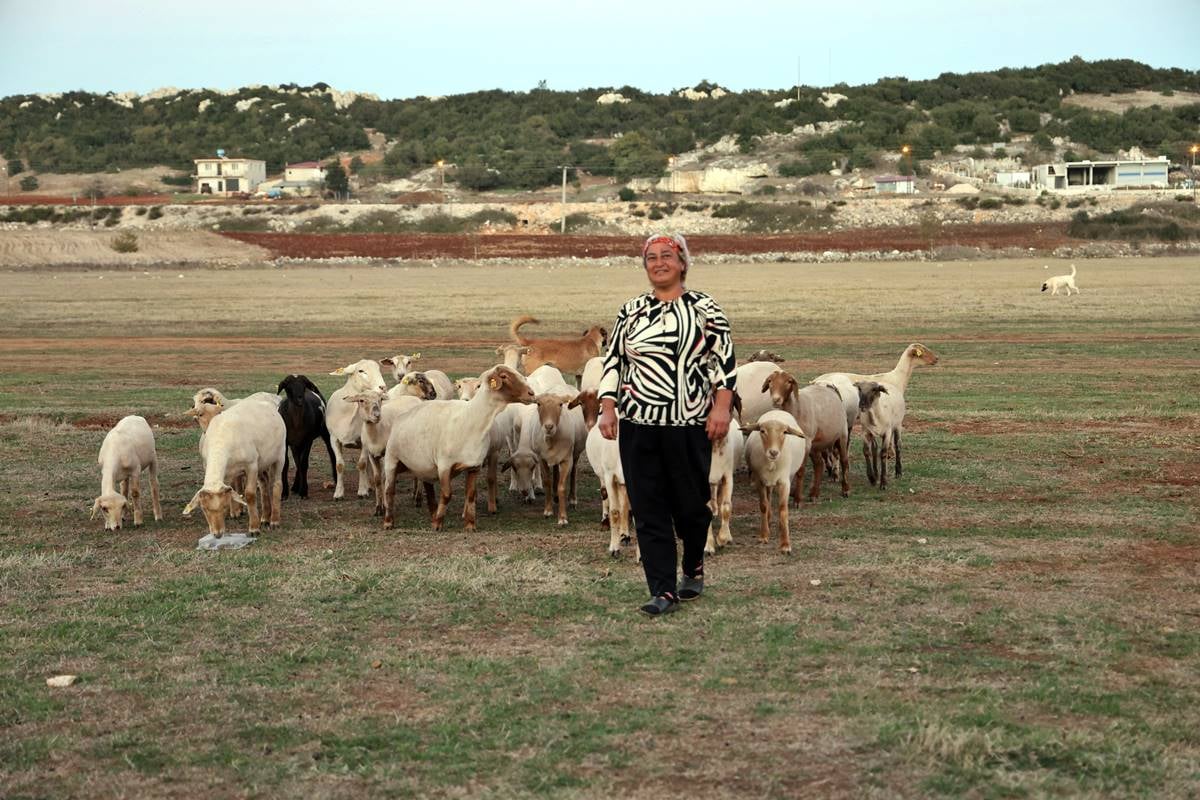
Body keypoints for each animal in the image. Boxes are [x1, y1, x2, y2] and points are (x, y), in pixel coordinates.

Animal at [324, 357, 388, 496]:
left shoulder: (364, 442)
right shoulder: (333, 439)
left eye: (379, 369)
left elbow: (362, 464)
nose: (383, 387)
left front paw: (362, 491)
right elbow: (339, 465)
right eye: (361, 371)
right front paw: (338, 493)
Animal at [381, 364, 537, 532]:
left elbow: (471, 494)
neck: (471, 420)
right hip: (392, 459)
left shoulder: (474, 466)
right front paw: (438, 524)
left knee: (429, 490)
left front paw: (470, 525)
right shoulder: (444, 465)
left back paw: (432, 515)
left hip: (424, 467)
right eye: (504, 376)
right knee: (389, 490)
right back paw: (388, 522)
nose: (531, 393)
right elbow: (446, 494)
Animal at [739, 410, 806, 554]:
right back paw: (768, 520)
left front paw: (785, 544)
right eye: (762, 431)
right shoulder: (759, 480)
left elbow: (783, 509)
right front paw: (764, 535)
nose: (773, 452)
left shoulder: (784, 482)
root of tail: (777, 411)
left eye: (785, 432)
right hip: (767, 482)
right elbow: (763, 505)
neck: (772, 464)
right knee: (768, 498)